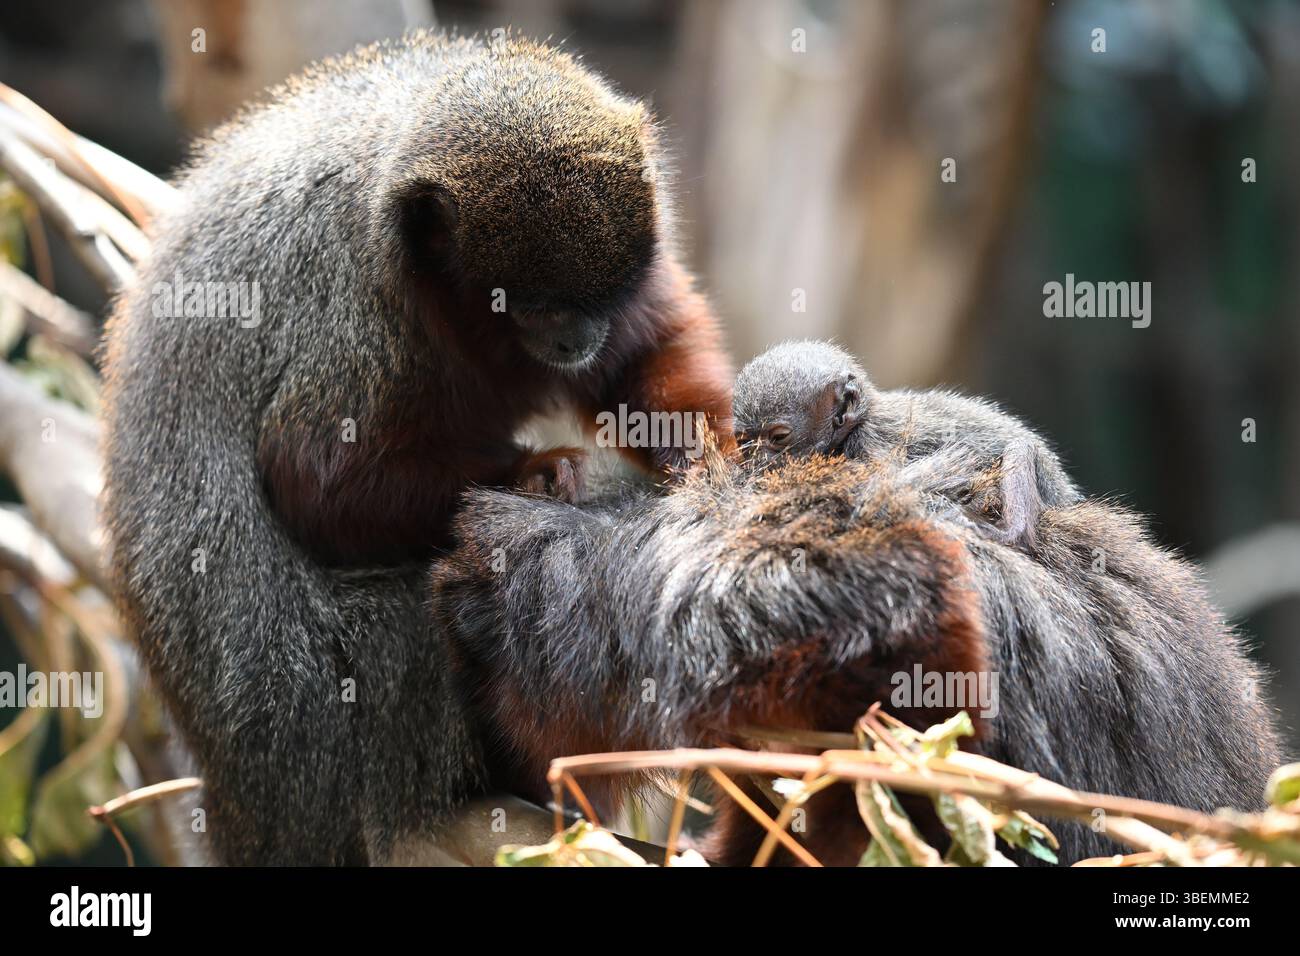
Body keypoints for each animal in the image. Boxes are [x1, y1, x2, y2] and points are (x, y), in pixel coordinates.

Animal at [99, 32, 733, 864]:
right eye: (536, 307)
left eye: (593, 300)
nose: (576, 337)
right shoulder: (364, 315)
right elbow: (311, 482)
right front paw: (533, 472)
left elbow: (646, 352)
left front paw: (724, 456)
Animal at [732, 340, 1080, 549]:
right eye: (744, 442)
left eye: (778, 438)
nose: (756, 461)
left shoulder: (870, 443)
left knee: (1021, 449)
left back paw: (1011, 533)